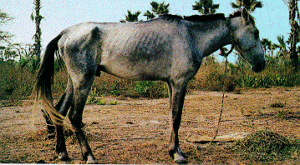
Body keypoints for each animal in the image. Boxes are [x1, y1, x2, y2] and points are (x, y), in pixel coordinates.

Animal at [34, 9, 264, 164]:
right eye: (256, 33)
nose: (261, 64)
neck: (191, 36)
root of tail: (65, 33)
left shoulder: (172, 84)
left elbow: (172, 117)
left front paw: (173, 150)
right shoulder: (180, 83)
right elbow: (177, 117)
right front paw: (178, 154)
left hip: (73, 81)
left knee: (59, 111)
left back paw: (62, 152)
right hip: (83, 81)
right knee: (74, 117)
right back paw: (89, 156)